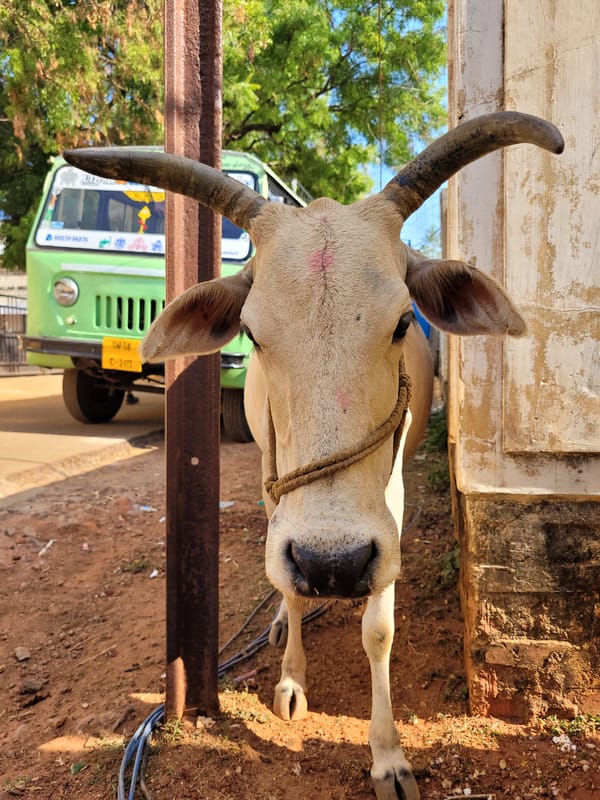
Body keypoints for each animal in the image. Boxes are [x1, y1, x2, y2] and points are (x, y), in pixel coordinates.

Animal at [65, 111, 563, 800]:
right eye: (251, 333)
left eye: (402, 321)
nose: (334, 564)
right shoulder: (282, 495)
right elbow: (290, 584)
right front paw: (292, 679)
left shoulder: (388, 508)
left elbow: (377, 631)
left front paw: (388, 757)